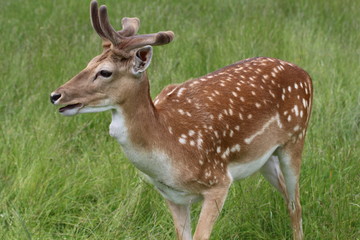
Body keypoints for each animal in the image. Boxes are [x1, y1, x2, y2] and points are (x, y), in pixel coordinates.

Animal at [50, 0, 312, 239]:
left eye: (105, 72)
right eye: (88, 63)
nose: (55, 95)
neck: (170, 147)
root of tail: (305, 74)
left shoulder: (218, 181)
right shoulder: (172, 195)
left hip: (296, 138)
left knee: (295, 203)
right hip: (264, 157)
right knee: (287, 195)